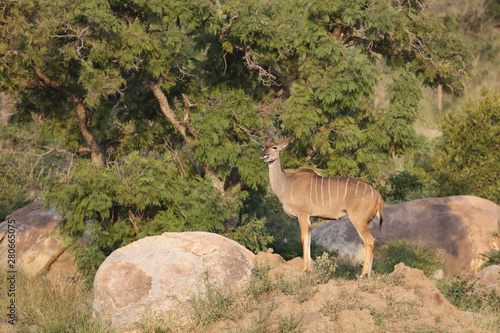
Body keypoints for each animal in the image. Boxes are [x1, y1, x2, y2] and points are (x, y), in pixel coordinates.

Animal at [262, 136, 382, 276]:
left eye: (274, 147)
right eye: (263, 146)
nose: (263, 156)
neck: (287, 184)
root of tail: (378, 196)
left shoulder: (303, 214)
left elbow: (303, 239)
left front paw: (304, 269)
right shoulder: (308, 216)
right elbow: (309, 240)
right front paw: (310, 269)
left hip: (359, 219)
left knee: (369, 241)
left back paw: (362, 274)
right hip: (366, 221)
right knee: (373, 242)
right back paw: (369, 274)